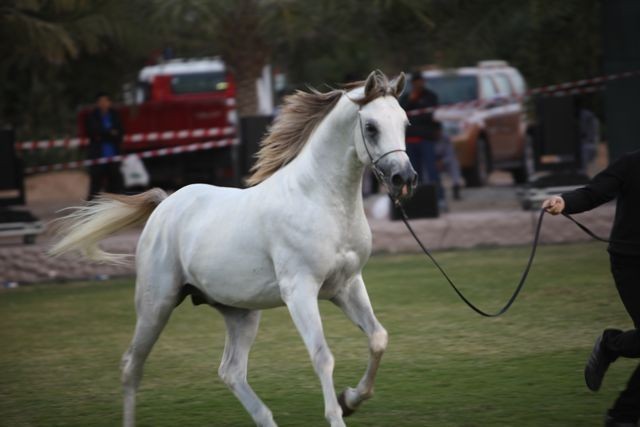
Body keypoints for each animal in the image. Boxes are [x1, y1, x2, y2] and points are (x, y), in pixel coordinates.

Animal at [50, 70, 417, 427]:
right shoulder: (300, 291)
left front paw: (350, 400)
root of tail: (165, 204)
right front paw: (338, 412)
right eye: (371, 127)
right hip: (156, 305)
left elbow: (378, 338)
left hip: (240, 313)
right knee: (131, 367)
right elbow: (322, 356)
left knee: (231, 371)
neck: (318, 199)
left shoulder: (347, 286)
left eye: (404, 123)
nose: (405, 178)